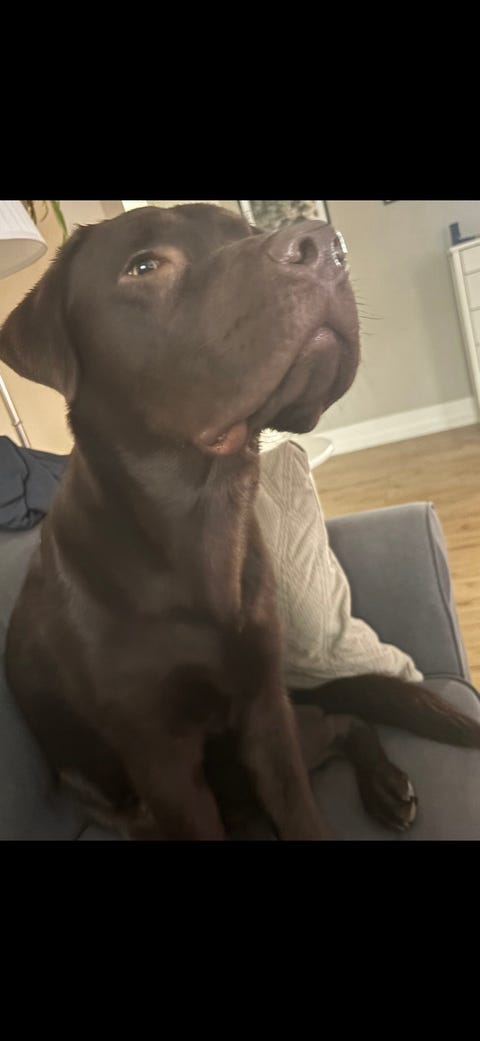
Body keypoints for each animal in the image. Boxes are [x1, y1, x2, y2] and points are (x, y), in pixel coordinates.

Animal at [1, 203, 480, 840]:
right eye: (143, 266)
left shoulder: (265, 709)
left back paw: (384, 786)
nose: (326, 245)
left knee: (341, 719)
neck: (206, 512)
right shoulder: (164, 761)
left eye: (249, 234)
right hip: (120, 798)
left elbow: (301, 811)